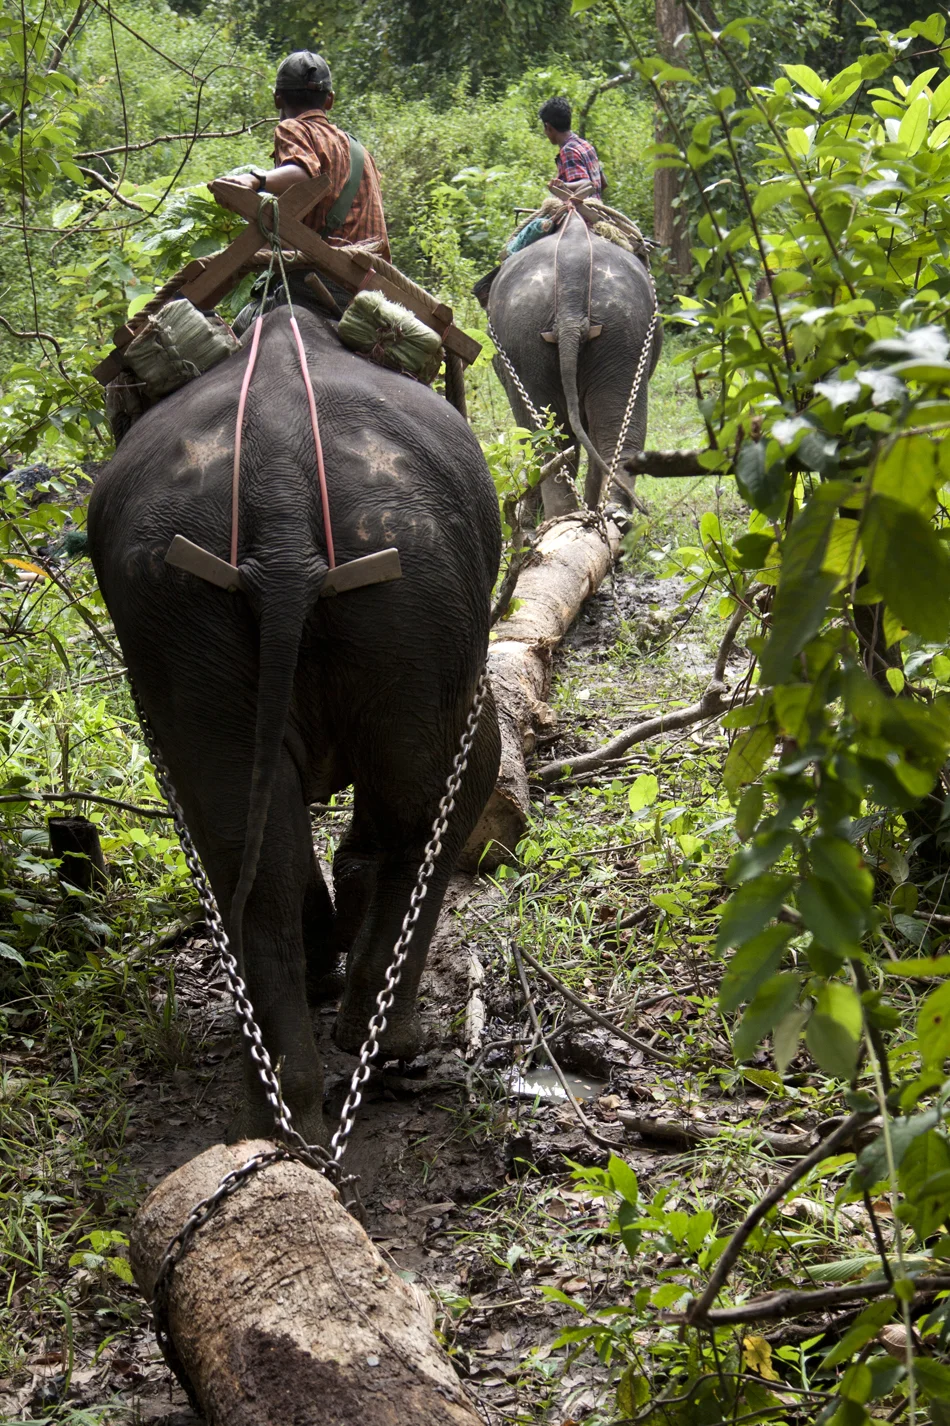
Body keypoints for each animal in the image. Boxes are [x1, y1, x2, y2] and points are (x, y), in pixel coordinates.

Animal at [87, 307, 502, 1147]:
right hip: (418, 588)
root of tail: (277, 502)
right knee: (421, 809)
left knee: (245, 849)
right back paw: (376, 1045)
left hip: (186, 616)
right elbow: (474, 767)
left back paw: (284, 1112)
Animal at [484, 211, 662, 518]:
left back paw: (564, 517)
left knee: (547, 443)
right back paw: (609, 516)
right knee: (611, 437)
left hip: (532, 334)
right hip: (620, 332)